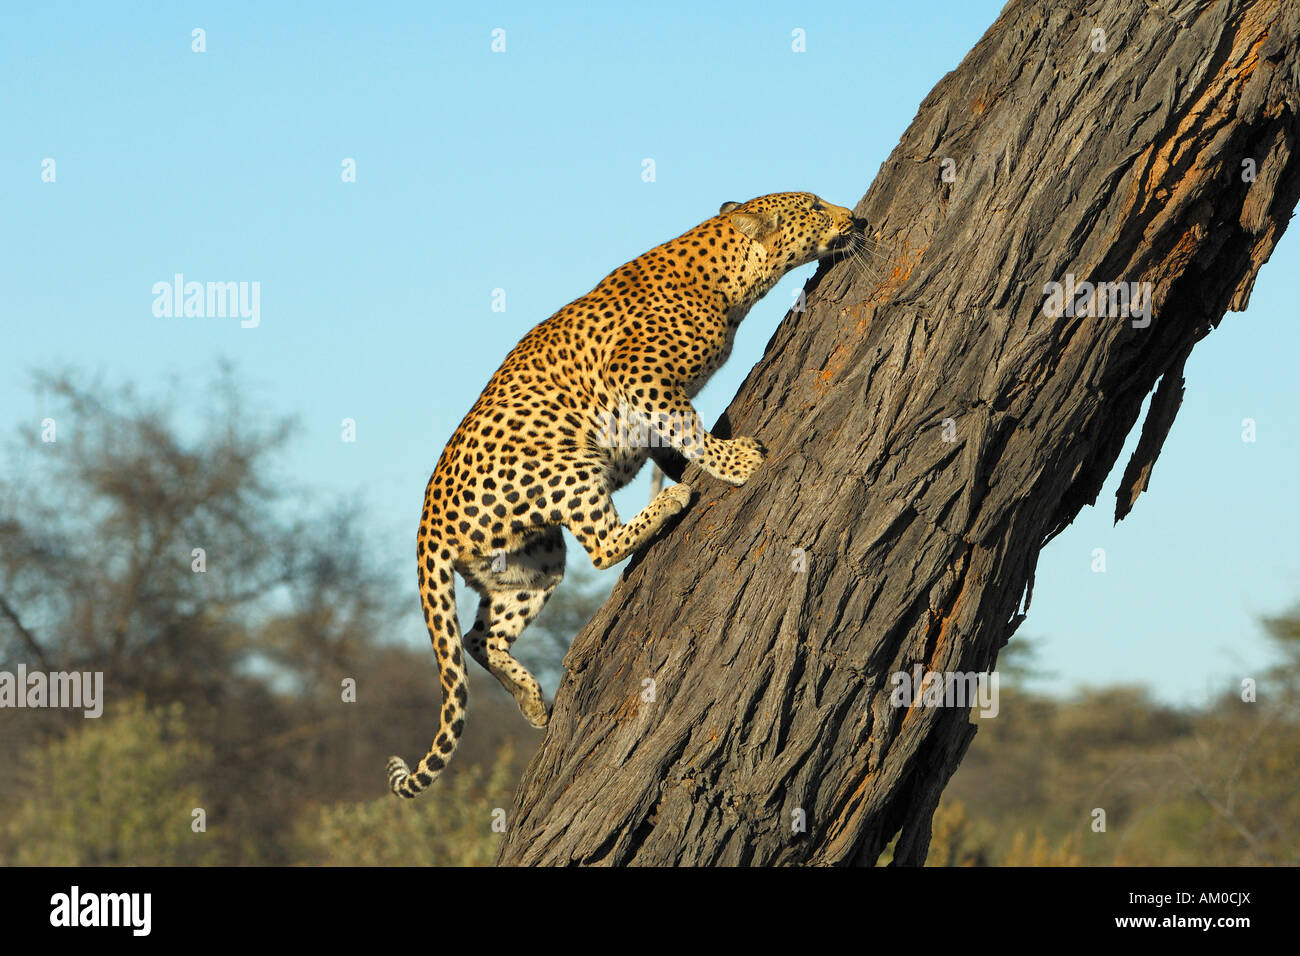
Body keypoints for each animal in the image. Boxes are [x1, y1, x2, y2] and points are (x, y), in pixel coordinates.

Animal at [390, 191, 868, 796]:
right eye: (814, 206)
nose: (855, 217)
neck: (728, 281)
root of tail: (426, 524)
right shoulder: (638, 376)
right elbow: (688, 428)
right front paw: (734, 463)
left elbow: (671, 437)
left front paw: (685, 465)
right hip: (570, 464)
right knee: (599, 549)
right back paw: (667, 503)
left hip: (531, 562)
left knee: (480, 637)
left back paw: (532, 702)